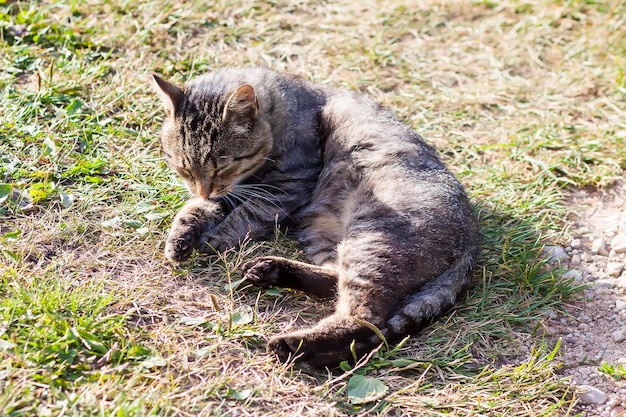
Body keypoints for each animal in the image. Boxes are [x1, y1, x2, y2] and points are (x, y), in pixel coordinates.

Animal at [150, 67, 478, 368]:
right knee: (336, 283)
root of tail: (472, 235)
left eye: (222, 165)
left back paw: (292, 345)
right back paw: (271, 271)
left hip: (371, 237)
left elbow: (247, 214)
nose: (204, 188)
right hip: (326, 237)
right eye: (184, 167)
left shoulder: (288, 186)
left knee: (364, 321)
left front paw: (216, 238)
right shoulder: (230, 191)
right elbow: (195, 209)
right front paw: (180, 238)